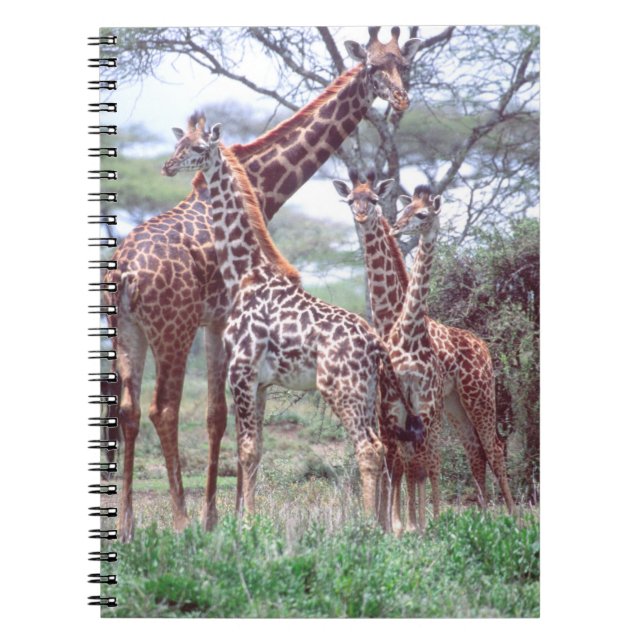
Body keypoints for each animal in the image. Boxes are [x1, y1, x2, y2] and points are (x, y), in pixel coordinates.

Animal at [160, 118, 423, 519]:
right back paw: (380, 524)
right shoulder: (262, 382)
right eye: (180, 143)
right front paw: (248, 517)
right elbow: (255, 451)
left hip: (341, 388)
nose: (169, 165)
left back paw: (366, 525)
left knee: (368, 448)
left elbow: (246, 450)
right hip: (369, 393)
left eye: (199, 148)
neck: (245, 273)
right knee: (384, 447)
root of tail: (376, 344)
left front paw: (248, 522)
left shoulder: (242, 372)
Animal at [333, 173, 516, 531]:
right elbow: (397, 462)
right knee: (474, 451)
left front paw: (410, 525)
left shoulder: (420, 407)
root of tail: (483, 347)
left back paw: (515, 519)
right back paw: (483, 517)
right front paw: (392, 524)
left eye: (374, 199)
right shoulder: (389, 406)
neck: (393, 319)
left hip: (478, 395)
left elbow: (418, 463)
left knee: (493, 447)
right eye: (350, 200)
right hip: (454, 405)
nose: (362, 217)